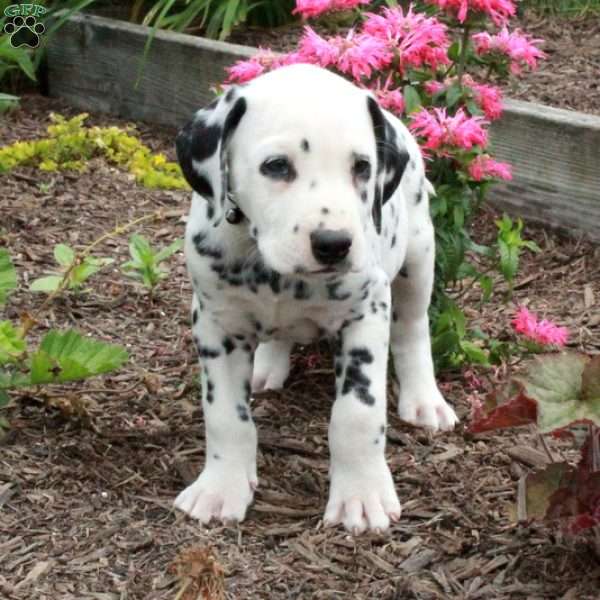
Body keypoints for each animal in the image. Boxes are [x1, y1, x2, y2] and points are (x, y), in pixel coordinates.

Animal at [173, 64, 460, 536]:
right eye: (276, 166)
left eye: (362, 167)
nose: (334, 244)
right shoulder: (217, 325)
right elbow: (225, 416)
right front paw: (220, 487)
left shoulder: (366, 315)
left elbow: (357, 413)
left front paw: (361, 494)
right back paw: (267, 367)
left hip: (419, 256)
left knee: (413, 330)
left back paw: (424, 400)